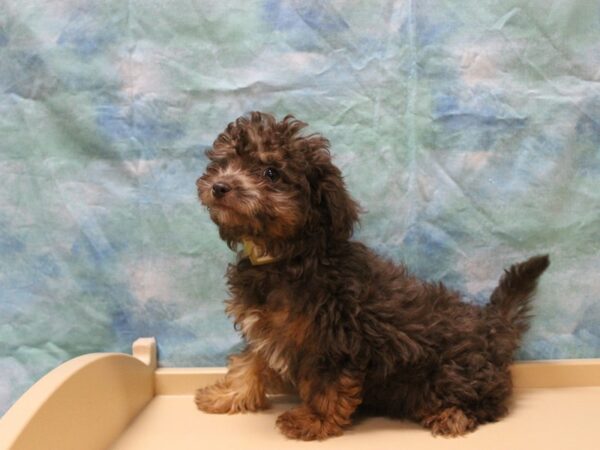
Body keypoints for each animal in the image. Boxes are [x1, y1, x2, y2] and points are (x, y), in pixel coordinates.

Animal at [195, 111, 552, 440]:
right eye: (225, 162)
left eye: (271, 172)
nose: (219, 186)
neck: (285, 256)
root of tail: (491, 327)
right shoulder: (267, 328)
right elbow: (250, 362)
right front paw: (228, 394)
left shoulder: (334, 340)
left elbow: (327, 385)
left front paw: (313, 420)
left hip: (453, 370)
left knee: (490, 401)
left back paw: (452, 415)